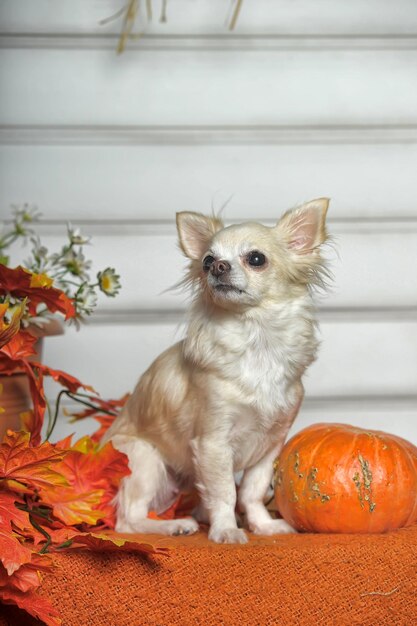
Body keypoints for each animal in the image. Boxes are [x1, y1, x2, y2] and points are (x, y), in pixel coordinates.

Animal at [103, 196, 328, 540]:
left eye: (256, 259)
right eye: (207, 261)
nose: (218, 267)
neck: (256, 340)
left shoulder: (270, 443)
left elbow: (251, 491)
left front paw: (262, 525)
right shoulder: (213, 443)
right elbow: (225, 492)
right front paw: (226, 530)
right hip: (145, 459)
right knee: (128, 519)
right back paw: (174, 525)